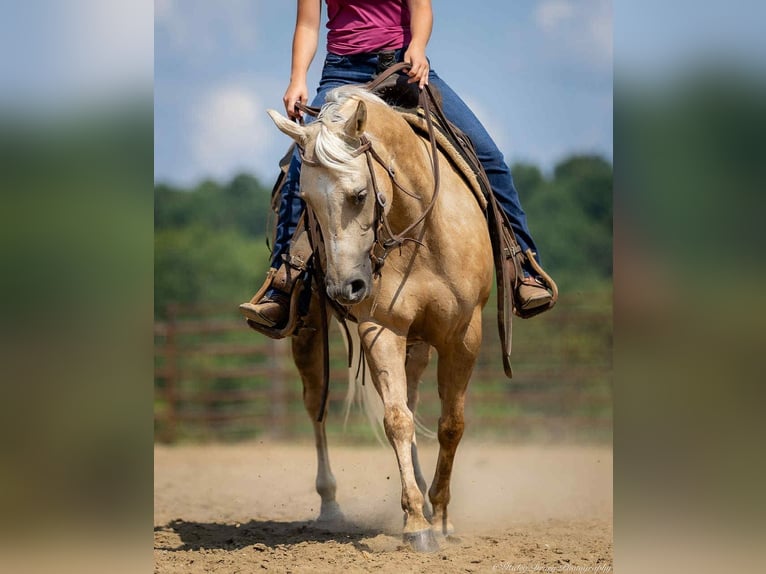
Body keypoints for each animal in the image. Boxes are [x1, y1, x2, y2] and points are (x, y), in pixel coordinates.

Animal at [266, 84, 494, 552]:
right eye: (306, 202)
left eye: (358, 194)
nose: (344, 288)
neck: (421, 232)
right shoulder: (381, 329)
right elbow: (397, 420)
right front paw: (417, 524)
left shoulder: (464, 334)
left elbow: (450, 424)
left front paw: (440, 516)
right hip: (310, 332)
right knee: (317, 406)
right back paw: (331, 508)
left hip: (420, 346)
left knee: (414, 400)